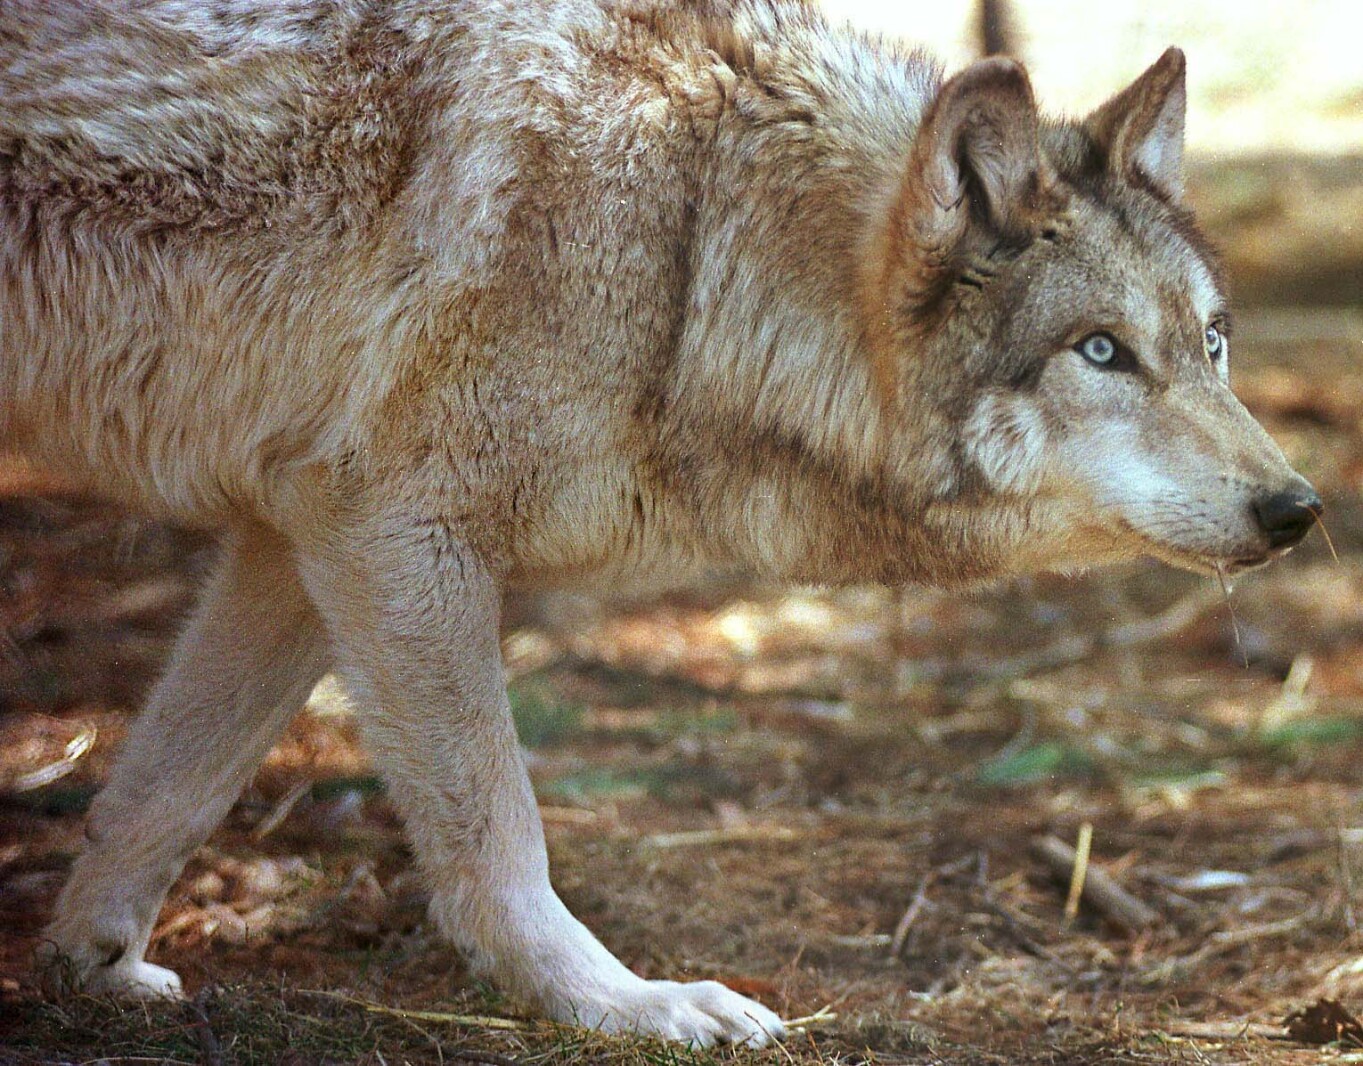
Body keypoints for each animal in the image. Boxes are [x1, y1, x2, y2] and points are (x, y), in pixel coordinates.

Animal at [1, 0, 1318, 1047]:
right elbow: (499, 837)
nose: (1298, 508)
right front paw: (623, 1002)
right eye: (1101, 351)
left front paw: (89, 967)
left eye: (1211, 342)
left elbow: (165, 788)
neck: (689, 251)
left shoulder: (297, 538)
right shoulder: (396, 534)